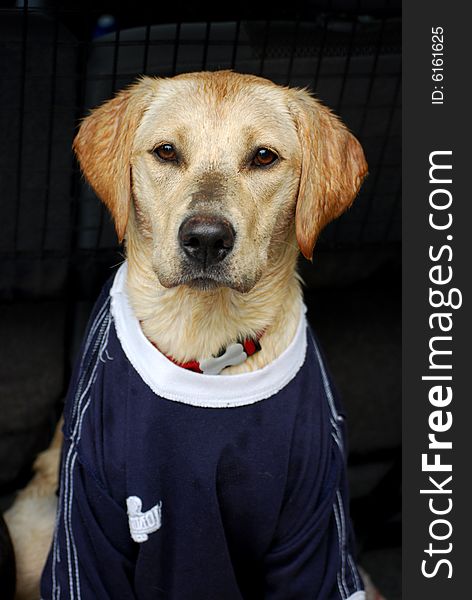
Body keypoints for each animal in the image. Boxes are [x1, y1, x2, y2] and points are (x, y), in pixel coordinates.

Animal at [5, 71, 376, 600]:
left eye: (264, 157)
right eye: (166, 152)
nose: (205, 239)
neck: (207, 346)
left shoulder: (317, 527)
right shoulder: (88, 520)